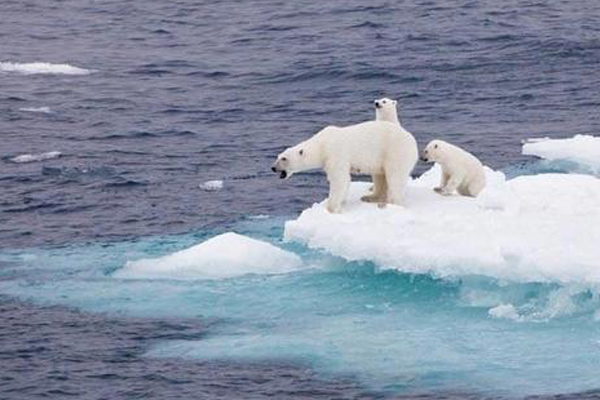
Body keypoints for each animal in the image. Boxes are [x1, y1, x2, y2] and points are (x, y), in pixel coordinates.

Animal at [272, 120, 418, 214]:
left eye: (284, 158)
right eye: (278, 156)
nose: (273, 168)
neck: (322, 144)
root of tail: (413, 141)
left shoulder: (335, 153)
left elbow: (339, 180)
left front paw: (331, 208)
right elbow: (344, 182)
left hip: (395, 150)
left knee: (395, 176)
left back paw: (389, 204)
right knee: (380, 175)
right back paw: (371, 197)